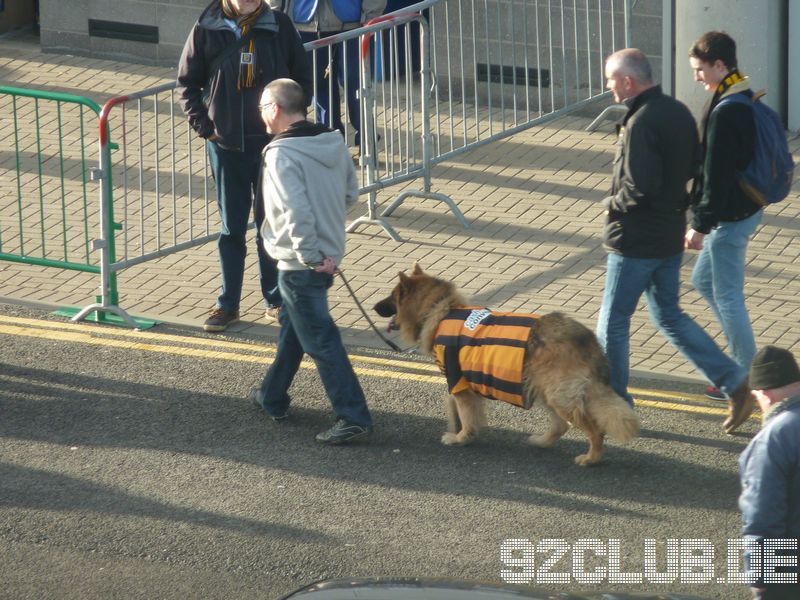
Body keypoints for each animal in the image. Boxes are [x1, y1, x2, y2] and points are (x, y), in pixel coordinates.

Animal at [372, 262, 640, 464]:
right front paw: (460, 430)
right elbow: (457, 408)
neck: (440, 309)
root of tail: (586, 338)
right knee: (560, 426)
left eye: (392, 297)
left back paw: (591, 458)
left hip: (559, 396)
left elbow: (464, 413)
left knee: (594, 430)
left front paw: (461, 437)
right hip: (545, 391)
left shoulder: (458, 382)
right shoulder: (461, 384)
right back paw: (542, 442)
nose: (374, 307)